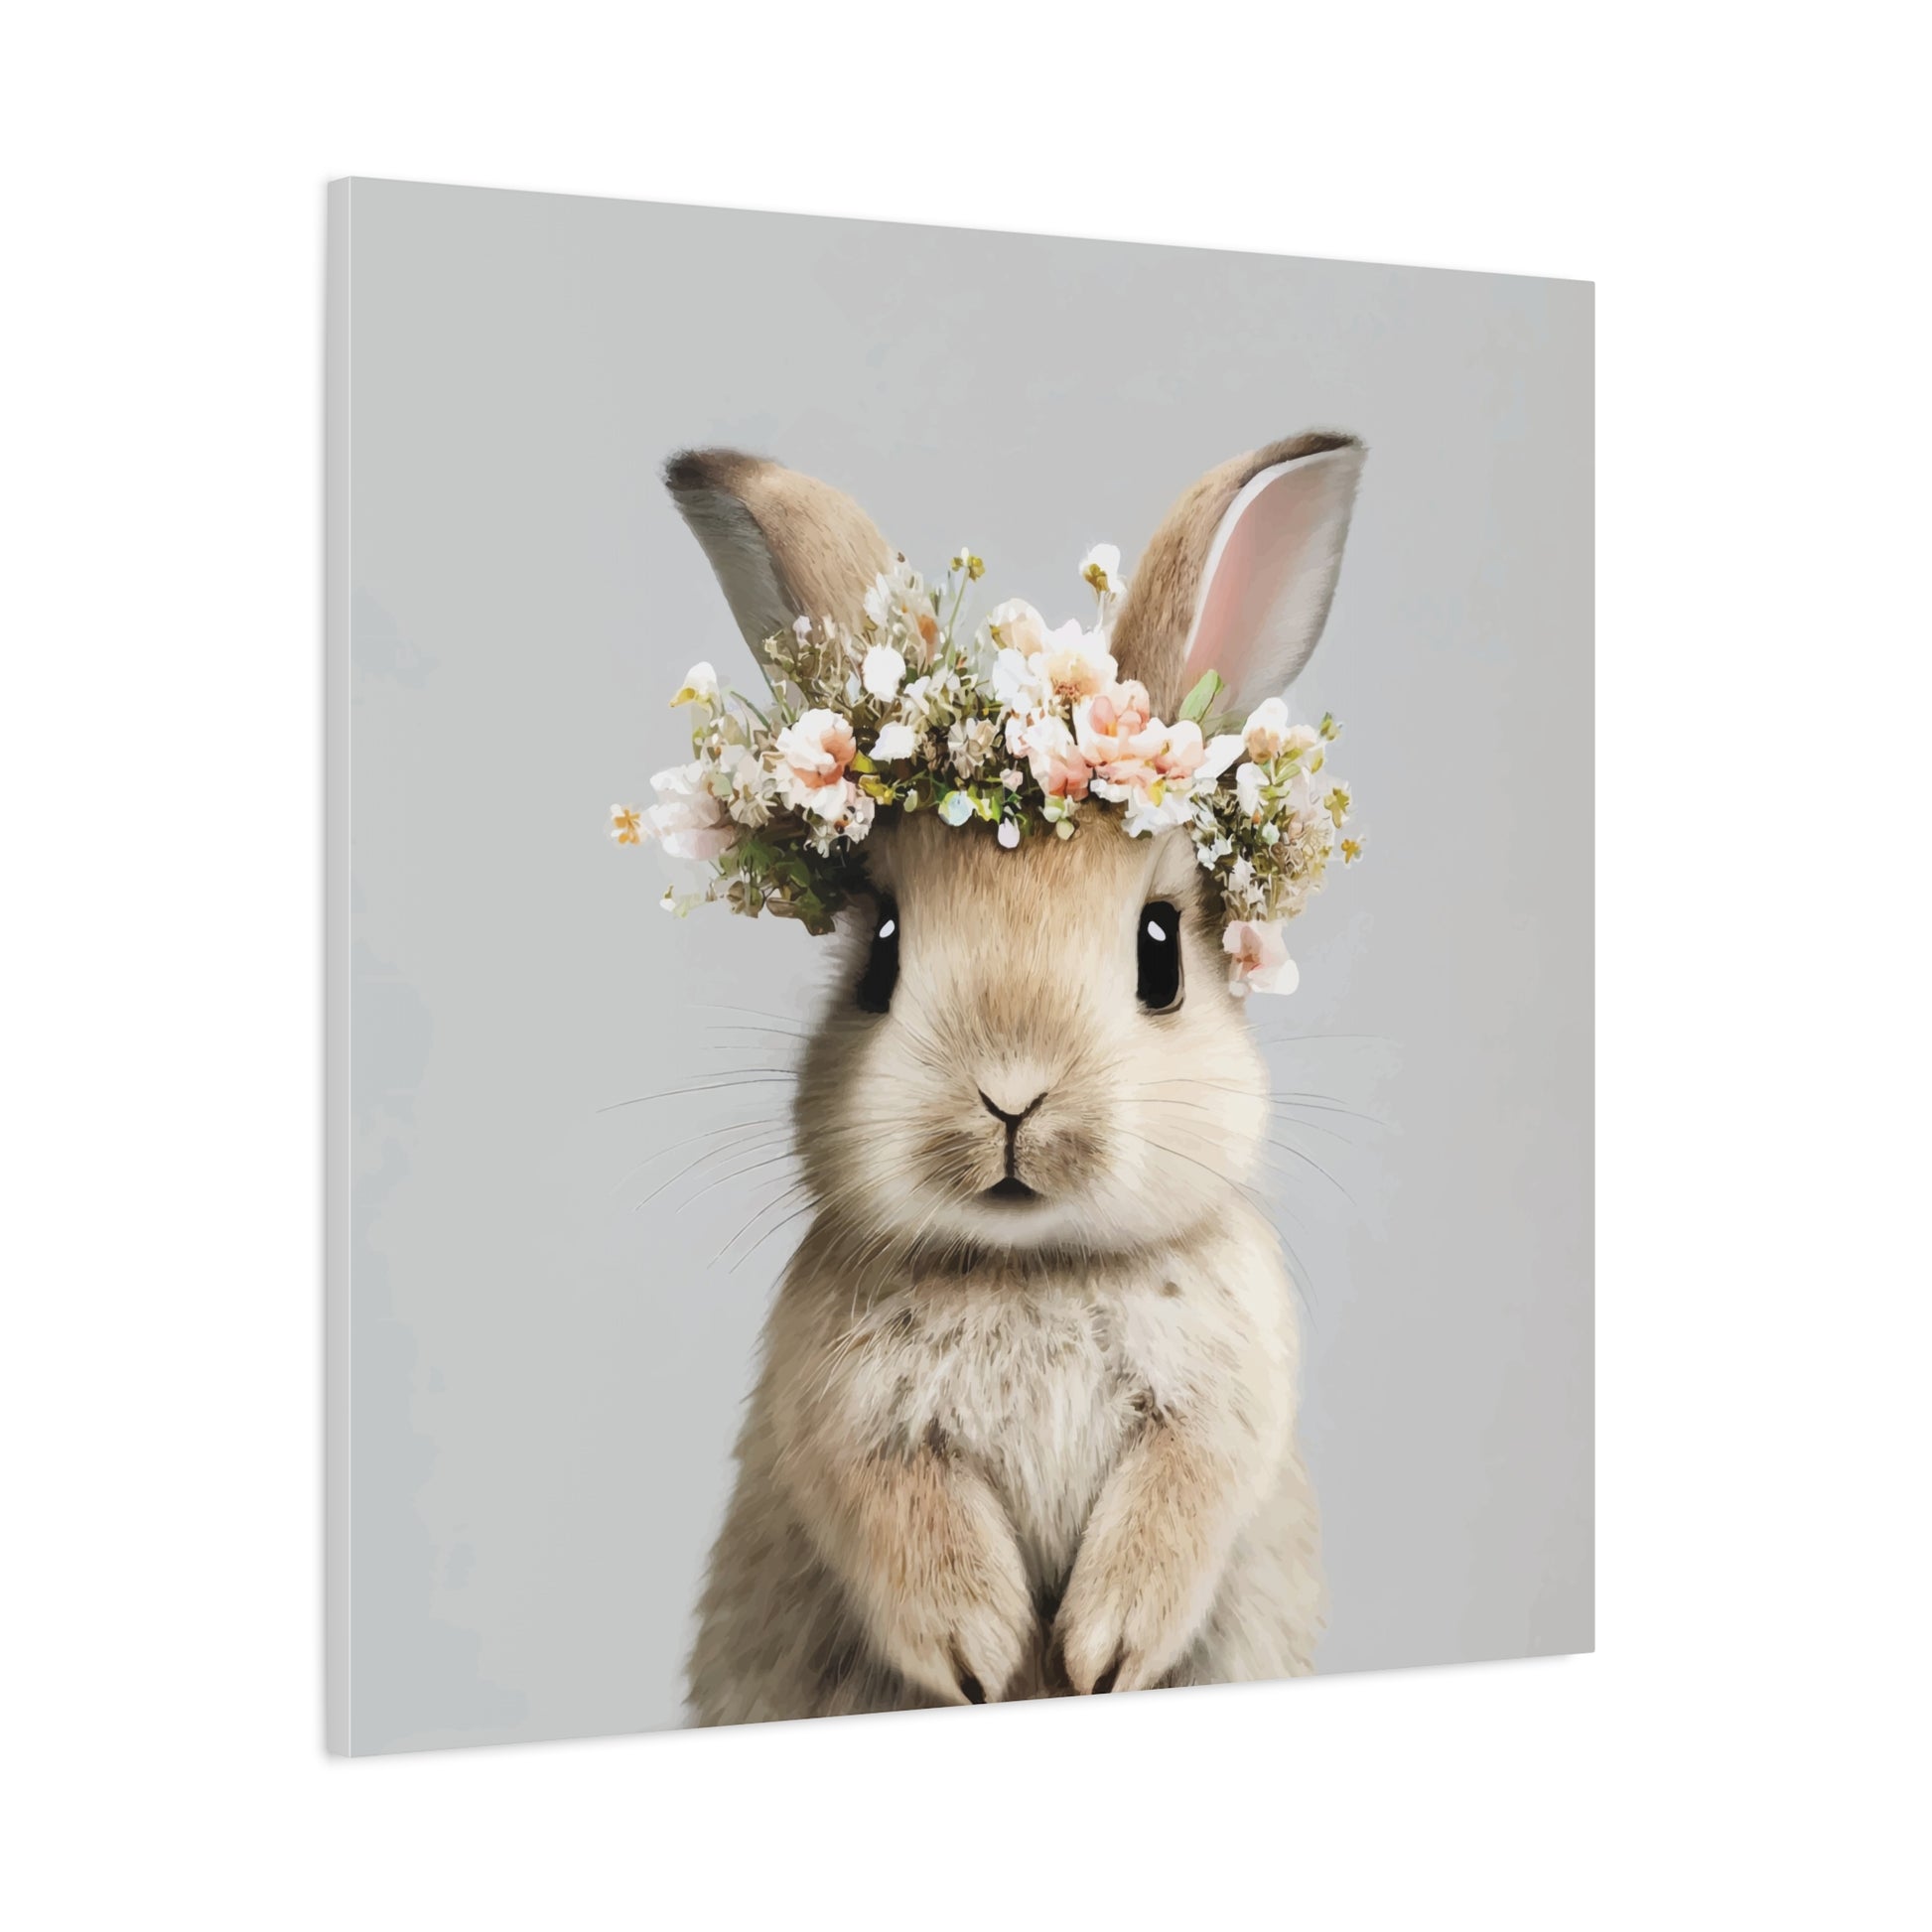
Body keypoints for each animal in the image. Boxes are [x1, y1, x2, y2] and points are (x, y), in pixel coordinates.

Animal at [665, 431, 1365, 1723]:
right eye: (881, 953)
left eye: (1159, 953)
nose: (1008, 1095)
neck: (1029, 1267)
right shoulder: (844, 1425)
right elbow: (899, 1516)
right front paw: (984, 1657)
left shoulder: (1221, 1406)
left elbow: (1179, 1498)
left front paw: (1098, 1652)